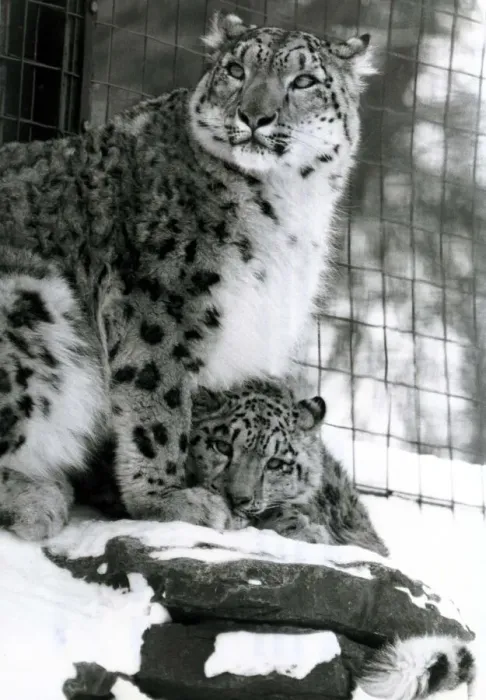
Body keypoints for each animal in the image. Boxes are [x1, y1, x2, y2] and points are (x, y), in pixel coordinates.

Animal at [0, 12, 372, 539]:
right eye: (236, 70)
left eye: (303, 81)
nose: (254, 116)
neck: (289, 209)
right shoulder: (163, 301)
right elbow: (159, 405)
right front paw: (170, 500)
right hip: (29, 301)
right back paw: (37, 500)